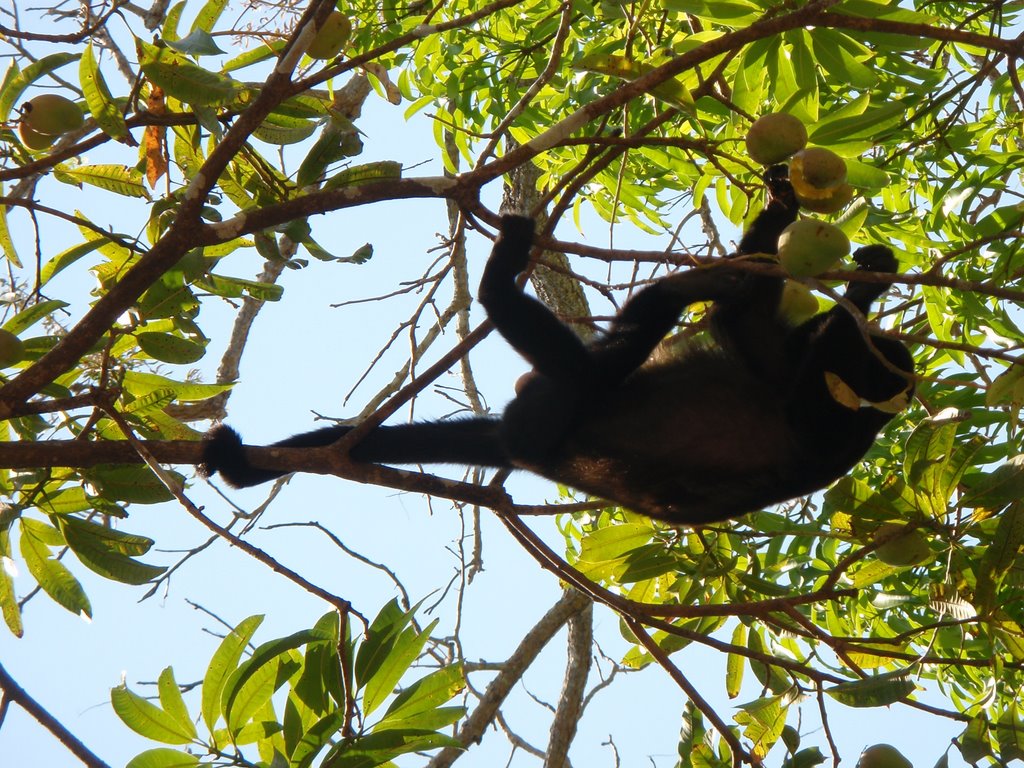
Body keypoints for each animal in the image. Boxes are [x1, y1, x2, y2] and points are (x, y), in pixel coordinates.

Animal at [199, 167, 913, 528]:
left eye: (871, 363)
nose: (823, 333)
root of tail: (527, 453)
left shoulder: (833, 417)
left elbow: (765, 352)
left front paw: (859, 289)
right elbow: (749, 326)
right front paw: (809, 225)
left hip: (543, 418)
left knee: (596, 368)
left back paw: (504, 277)